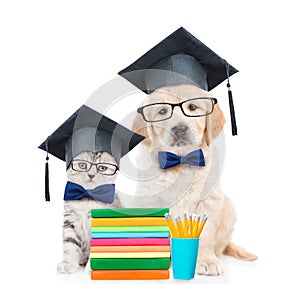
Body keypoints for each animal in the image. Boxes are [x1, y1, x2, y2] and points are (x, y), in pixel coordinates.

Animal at [130, 84, 256, 276]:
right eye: (162, 111)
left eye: (193, 107)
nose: (179, 129)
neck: (181, 160)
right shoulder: (150, 200)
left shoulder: (208, 201)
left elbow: (205, 234)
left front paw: (206, 260)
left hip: (228, 207)